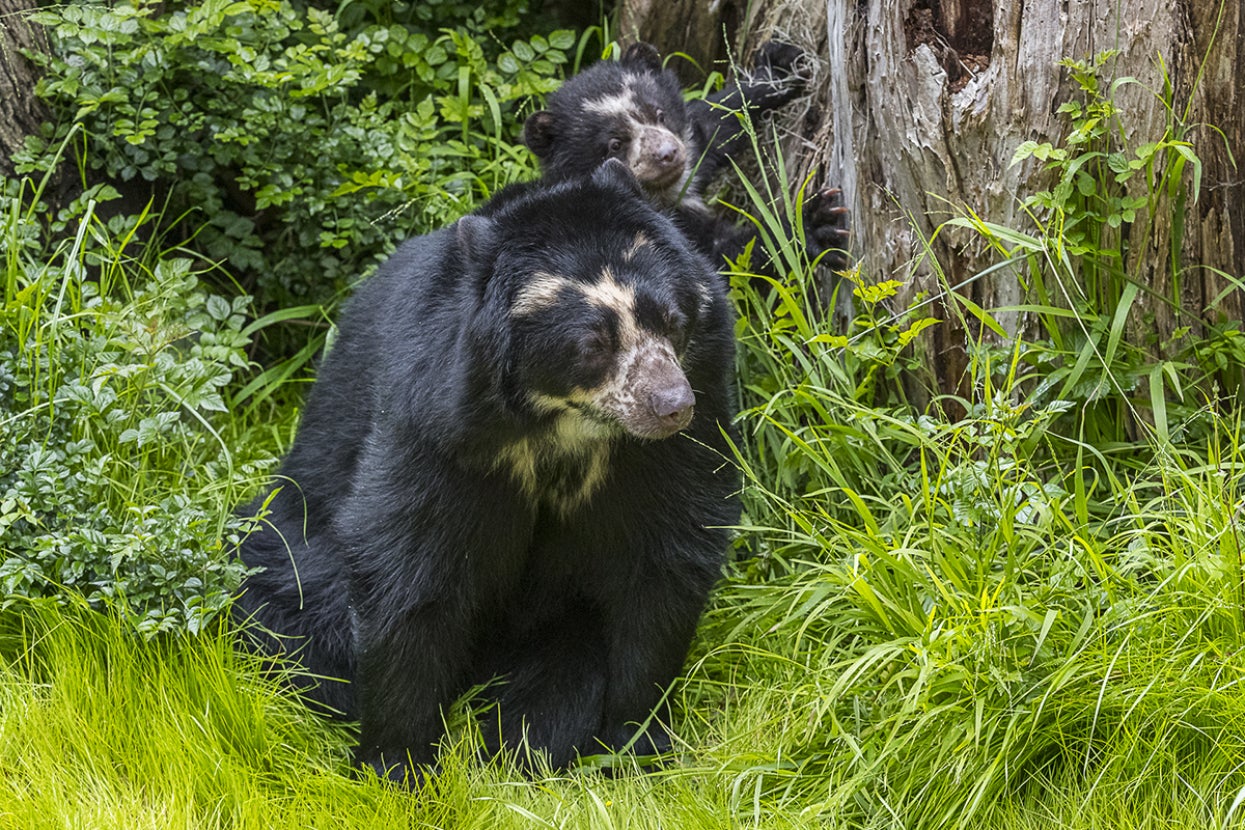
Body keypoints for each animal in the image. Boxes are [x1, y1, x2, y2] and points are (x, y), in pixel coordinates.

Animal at [234, 159, 740, 783]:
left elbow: (665, 558)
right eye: (592, 344)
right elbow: (409, 565)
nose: (671, 405)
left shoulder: (680, 427)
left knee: (563, 680)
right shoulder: (440, 424)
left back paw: (516, 745)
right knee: (285, 599)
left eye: (671, 321)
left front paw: (637, 740)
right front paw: (395, 764)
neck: (565, 424)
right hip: (290, 541)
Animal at [523, 41, 851, 280]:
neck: (668, 195)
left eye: (659, 114)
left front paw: (780, 65)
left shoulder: (692, 144)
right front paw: (816, 223)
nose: (667, 154)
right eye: (614, 144)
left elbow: (715, 122)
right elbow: (725, 257)